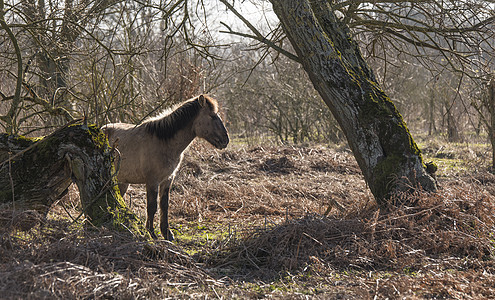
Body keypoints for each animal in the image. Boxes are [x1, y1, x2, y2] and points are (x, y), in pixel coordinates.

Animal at [102, 95, 231, 240]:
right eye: (212, 116)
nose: (225, 140)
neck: (163, 141)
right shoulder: (152, 181)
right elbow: (152, 206)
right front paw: (151, 233)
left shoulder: (168, 179)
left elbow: (164, 206)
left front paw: (167, 233)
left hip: (122, 181)